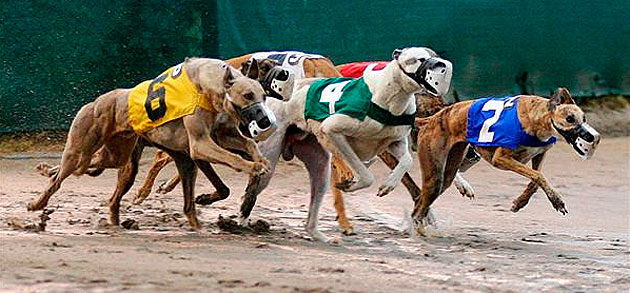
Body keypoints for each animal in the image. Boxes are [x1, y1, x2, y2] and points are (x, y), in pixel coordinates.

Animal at [28, 58, 272, 229]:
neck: (208, 84)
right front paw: (254, 167)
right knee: (58, 181)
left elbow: (249, 145)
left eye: (263, 96)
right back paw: (37, 203)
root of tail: (95, 102)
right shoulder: (200, 144)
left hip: (117, 156)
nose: (265, 121)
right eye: (248, 95)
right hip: (80, 151)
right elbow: (232, 157)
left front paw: (261, 161)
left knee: (99, 176)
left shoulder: (219, 137)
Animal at [414, 88, 604, 234]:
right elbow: (538, 176)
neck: (538, 118)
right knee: (421, 202)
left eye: (584, 118)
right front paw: (557, 201)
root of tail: (433, 118)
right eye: (570, 118)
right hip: (437, 172)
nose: (593, 137)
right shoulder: (501, 158)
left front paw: (520, 203)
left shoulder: (540, 154)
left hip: (453, 163)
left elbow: (535, 179)